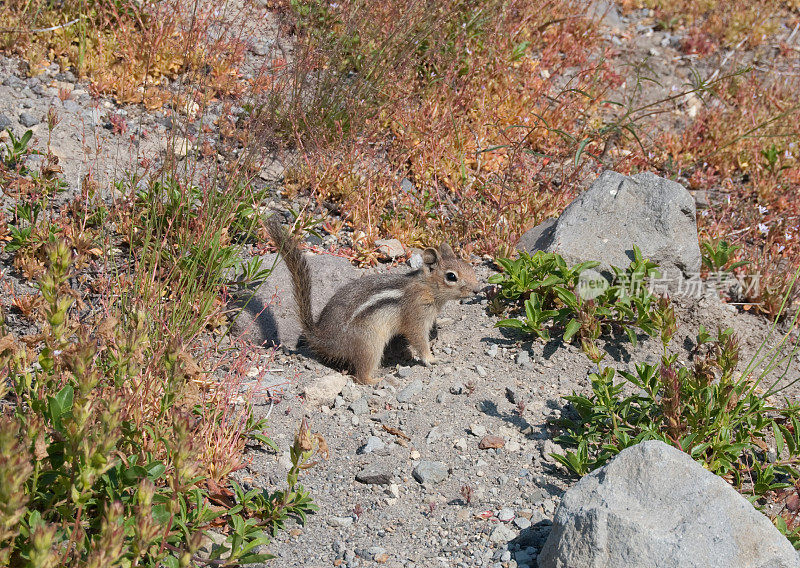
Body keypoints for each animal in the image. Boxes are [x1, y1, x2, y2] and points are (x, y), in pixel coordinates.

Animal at [268, 220, 482, 384]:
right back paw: (377, 379)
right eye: (451, 276)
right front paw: (431, 359)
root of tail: (323, 338)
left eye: (469, 267)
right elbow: (419, 340)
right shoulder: (416, 316)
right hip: (370, 344)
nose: (477, 289)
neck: (427, 287)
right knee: (360, 376)